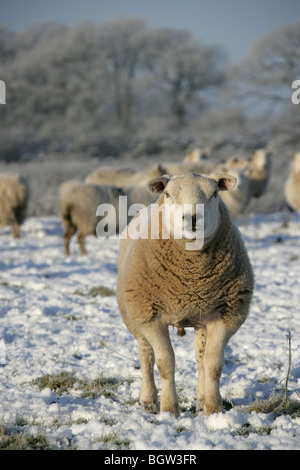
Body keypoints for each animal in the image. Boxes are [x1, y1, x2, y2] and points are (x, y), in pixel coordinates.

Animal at [117, 172, 253, 414]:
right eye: (168, 194)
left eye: (214, 193)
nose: (192, 218)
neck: (191, 281)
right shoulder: (150, 317)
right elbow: (165, 363)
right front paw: (169, 410)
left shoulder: (226, 315)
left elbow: (213, 364)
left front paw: (213, 409)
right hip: (134, 313)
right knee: (146, 355)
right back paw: (149, 400)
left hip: (202, 318)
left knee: (200, 357)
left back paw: (200, 399)